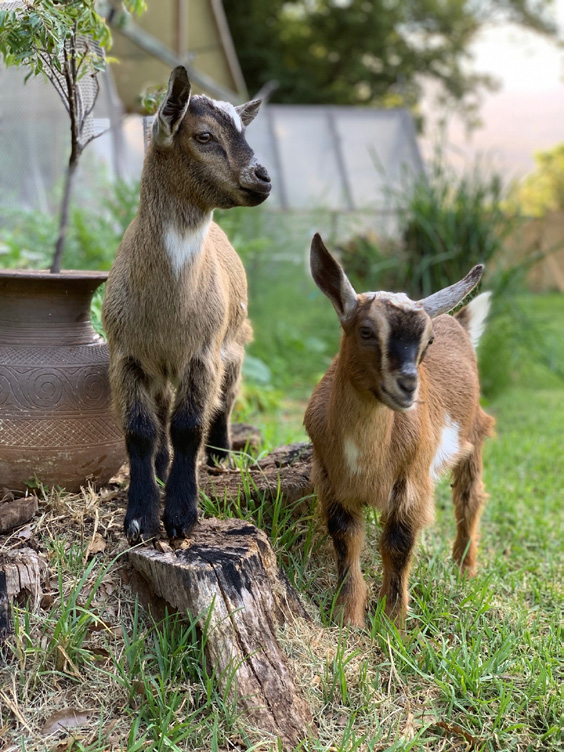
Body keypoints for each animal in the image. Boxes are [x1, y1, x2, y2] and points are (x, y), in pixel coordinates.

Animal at [102, 66, 271, 542]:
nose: (263, 177)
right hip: (162, 367)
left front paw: (180, 515)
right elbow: (140, 431)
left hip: (234, 344)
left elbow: (189, 426)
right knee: (161, 411)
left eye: (243, 131)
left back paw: (219, 456)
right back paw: (162, 467)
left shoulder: (203, 353)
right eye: (204, 135)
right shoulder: (126, 356)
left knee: (226, 400)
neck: (167, 311)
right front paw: (141, 516)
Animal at [304, 234, 495, 628]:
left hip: (474, 434)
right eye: (366, 331)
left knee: (469, 497)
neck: (366, 458)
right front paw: (347, 617)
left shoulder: (410, 486)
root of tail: (459, 321)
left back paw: (464, 567)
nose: (407, 386)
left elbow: (398, 545)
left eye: (428, 341)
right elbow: (346, 541)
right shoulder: (332, 483)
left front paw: (391, 624)